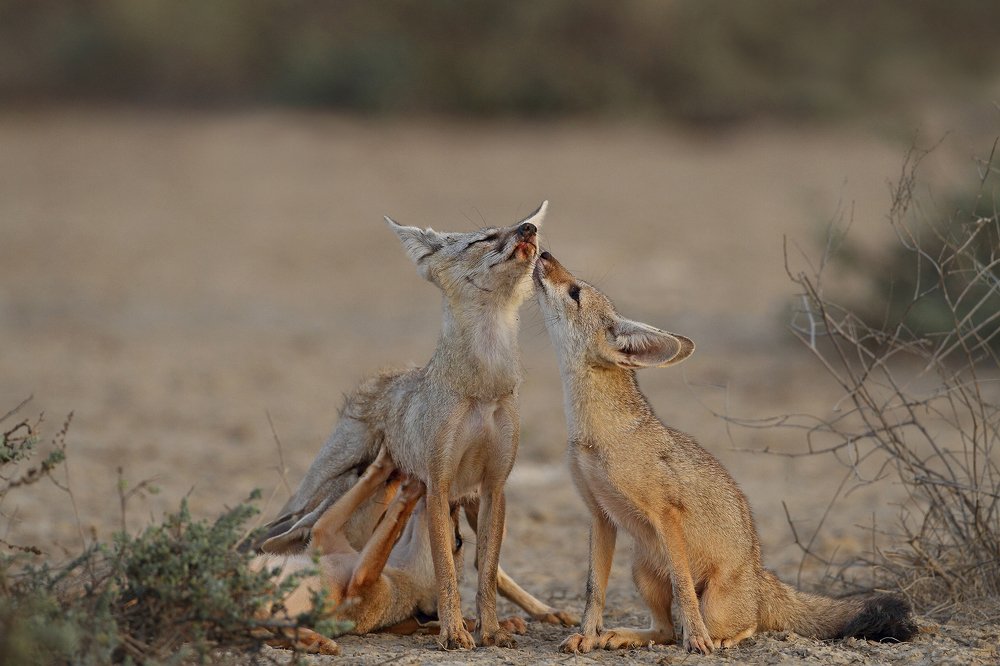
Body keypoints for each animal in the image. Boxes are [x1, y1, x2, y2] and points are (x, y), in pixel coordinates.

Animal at [257, 202, 575, 650]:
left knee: (490, 568)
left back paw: (541, 613)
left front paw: (491, 630)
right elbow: (445, 568)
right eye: (484, 238)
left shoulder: (493, 486)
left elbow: (486, 571)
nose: (528, 228)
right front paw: (454, 631)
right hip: (319, 495)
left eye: (518, 225)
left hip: (468, 502)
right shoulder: (439, 485)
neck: (483, 386)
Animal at [532, 250, 917, 654]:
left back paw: (714, 637)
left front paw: (697, 639)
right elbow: (594, 588)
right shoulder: (599, 515)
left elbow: (683, 587)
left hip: (711, 601)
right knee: (665, 631)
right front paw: (587, 635)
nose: (544, 253)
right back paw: (624, 635)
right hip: (642, 570)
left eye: (575, 292)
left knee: (741, 624)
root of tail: (761, 572)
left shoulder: (667, 513)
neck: (596, 434)